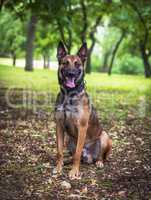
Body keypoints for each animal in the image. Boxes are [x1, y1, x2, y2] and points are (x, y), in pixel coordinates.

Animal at [53, 41, 112, 179]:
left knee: (100, 156)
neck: (69, 94)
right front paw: (58, 167)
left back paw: (99, 162)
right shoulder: (59, 125)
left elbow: (77, 154)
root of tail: (89, 157)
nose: (71, 73)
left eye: (77, 64)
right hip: (69, 139)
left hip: (105, 136)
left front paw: (74, 172)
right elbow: (59, 151)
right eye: (65, 63)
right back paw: (66, 161)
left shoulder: (82, 126)